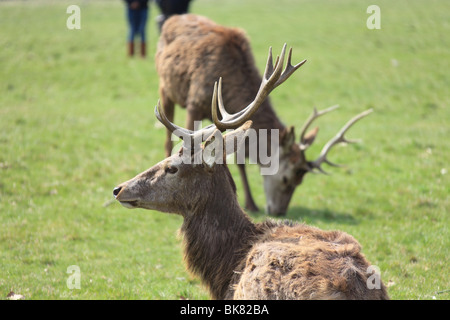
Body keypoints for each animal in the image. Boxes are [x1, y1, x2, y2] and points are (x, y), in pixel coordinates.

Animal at [155, 13, 372, 216]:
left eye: (300, 180)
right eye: (286, 178)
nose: (279, 212)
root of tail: (175, 17)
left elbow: (237, 158)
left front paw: (250, 203)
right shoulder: (194, 103)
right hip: (165, 87)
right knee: (166, 135)